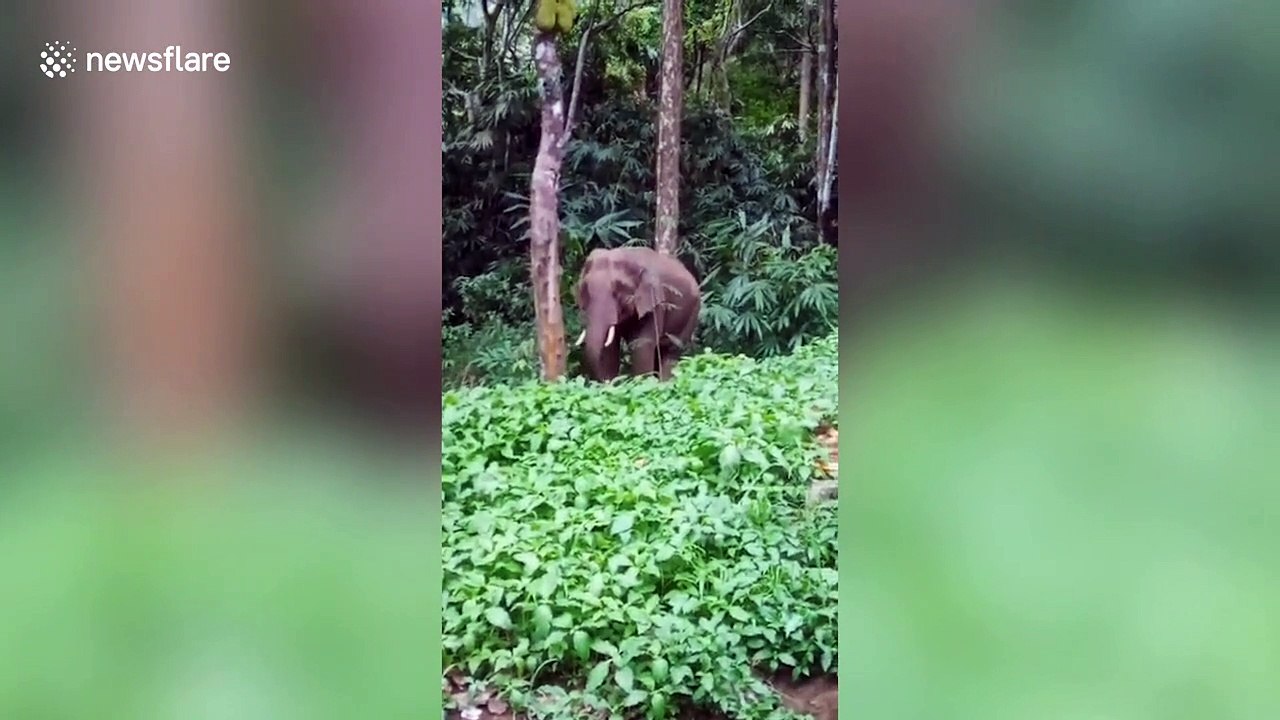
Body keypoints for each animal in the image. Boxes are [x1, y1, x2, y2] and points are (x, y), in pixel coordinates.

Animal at [573, 246, 701, 382]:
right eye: (586, 289)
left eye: (618, 290)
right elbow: (610, 348)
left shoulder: (655, 302)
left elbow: (642, 345)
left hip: (692, 313)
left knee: (671, 350)